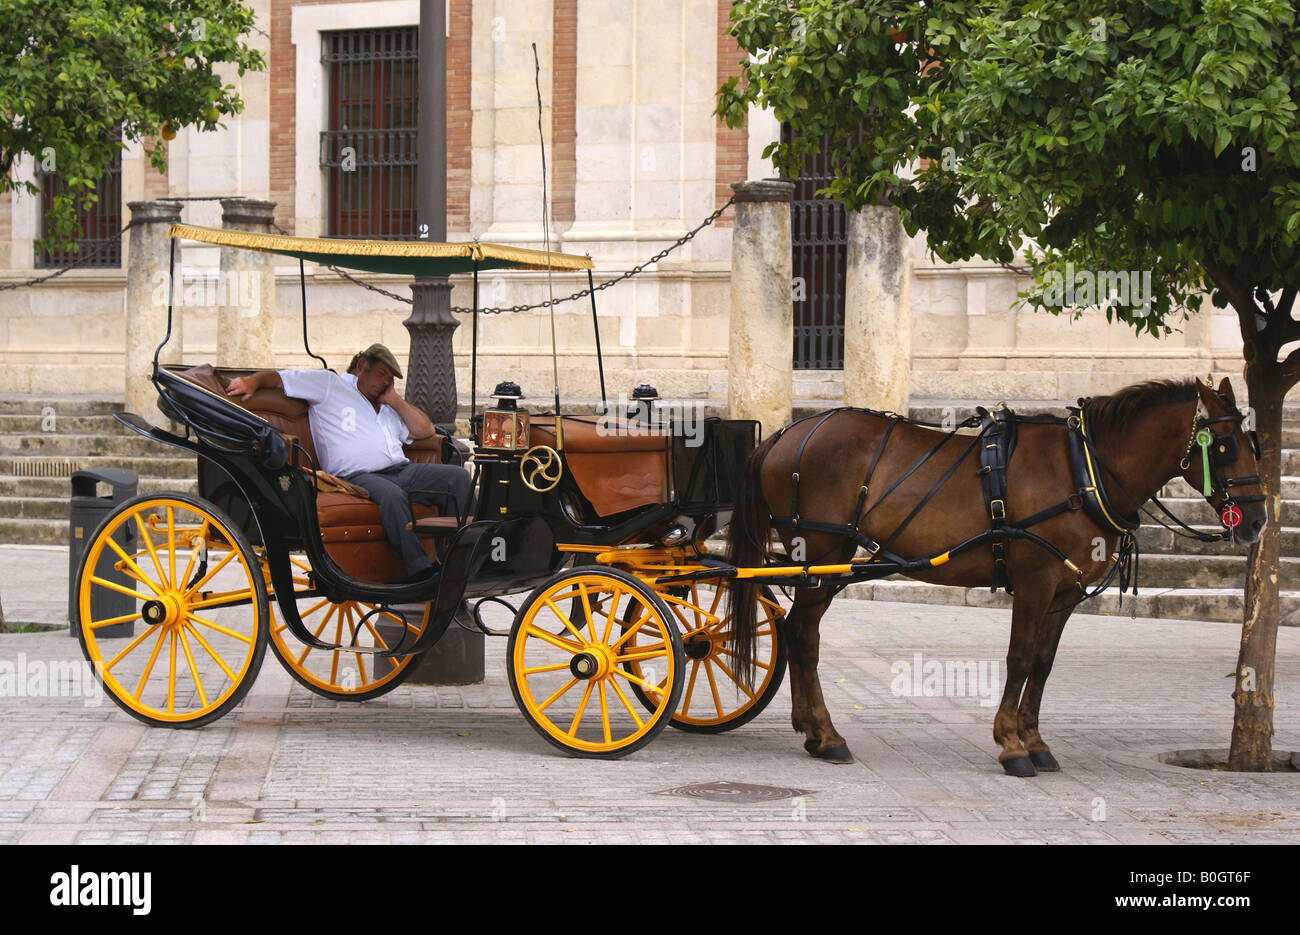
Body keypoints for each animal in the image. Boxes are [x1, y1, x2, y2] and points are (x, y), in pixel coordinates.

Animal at [733, 377, 1268, 780]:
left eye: (1254, 444)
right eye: (1223, 446)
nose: (1258, 521)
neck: (1083, 470)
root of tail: (787, 432)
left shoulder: (1065, 593)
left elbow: (1044, 664)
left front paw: (1035, 740)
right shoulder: (1035, 583)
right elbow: (1019, 659)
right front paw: (1011, 745)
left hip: (827, 565)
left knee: (799, 633)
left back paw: (812, 730)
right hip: (822, 554)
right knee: (804, 635)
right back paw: (826, 734)